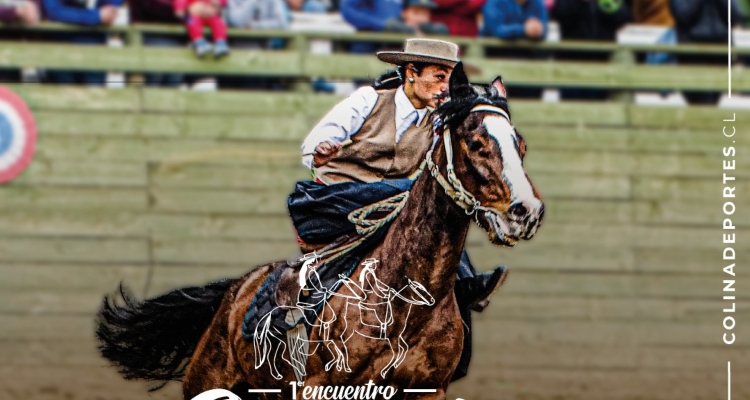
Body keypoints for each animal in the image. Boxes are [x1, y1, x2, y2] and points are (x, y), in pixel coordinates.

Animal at [98, 65, 548, 400]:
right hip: (208, 381)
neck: (403, 298)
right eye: (476, 143)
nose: (527, 212)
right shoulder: (318, 389)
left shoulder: (428, 390)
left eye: (522, 145)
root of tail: (234, 292)